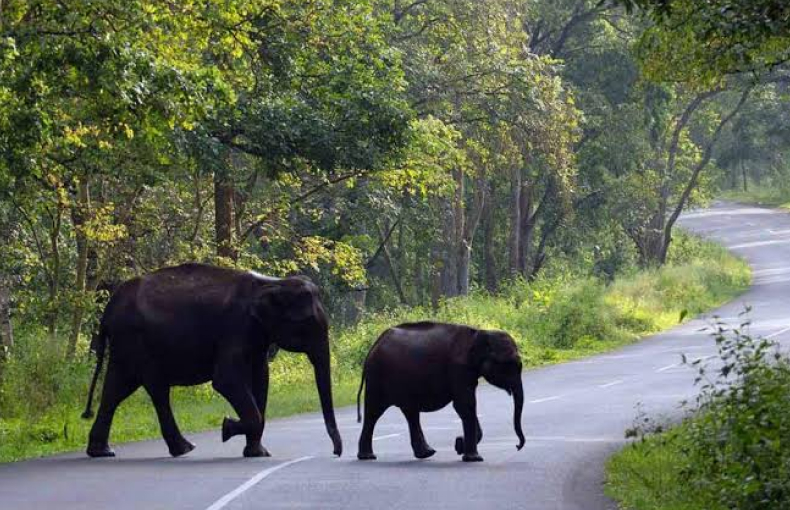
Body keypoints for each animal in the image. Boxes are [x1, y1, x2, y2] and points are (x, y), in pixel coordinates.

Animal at [81, 262, 342, 459]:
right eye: (306, 323)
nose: (336, 452)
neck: (272, 283)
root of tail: (108, 310)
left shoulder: (256, 335)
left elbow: (261, 379)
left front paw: (257, 453)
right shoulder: (236, 328)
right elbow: (226, 380)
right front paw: (226, 427)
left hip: (127, 346)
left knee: (117, 389)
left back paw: (103, 451)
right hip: (136, 342)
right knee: (153, 389)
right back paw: (184, 448)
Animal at [356, 321, 525, 462]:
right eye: (510, 365)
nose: (517, 446)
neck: (478, 333)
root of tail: (373, 346)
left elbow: (465, 406)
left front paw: (459, 445)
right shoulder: (458, 369)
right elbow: (465, 405)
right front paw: (473, 457)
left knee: (410, 413)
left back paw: (426, 453)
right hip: (377, 377)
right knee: (374, 412)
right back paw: (368, 457)